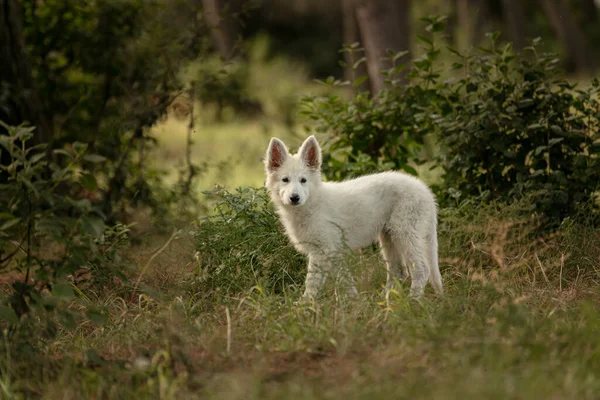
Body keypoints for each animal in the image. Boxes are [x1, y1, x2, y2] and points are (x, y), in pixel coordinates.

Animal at [264, 135, 442, 300]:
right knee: (399, 271)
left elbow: (312, 282)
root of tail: (425, 191)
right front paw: (353, 301)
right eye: (285, 180)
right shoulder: (334, 251)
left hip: (405, 233)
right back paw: (384, 302)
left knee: (421, 270)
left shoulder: (323, 250)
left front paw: (304, 305)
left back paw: (412, 301)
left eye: (303, 180)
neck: (311, 202)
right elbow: (345, 280)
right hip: (389, 237)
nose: (294, 198)